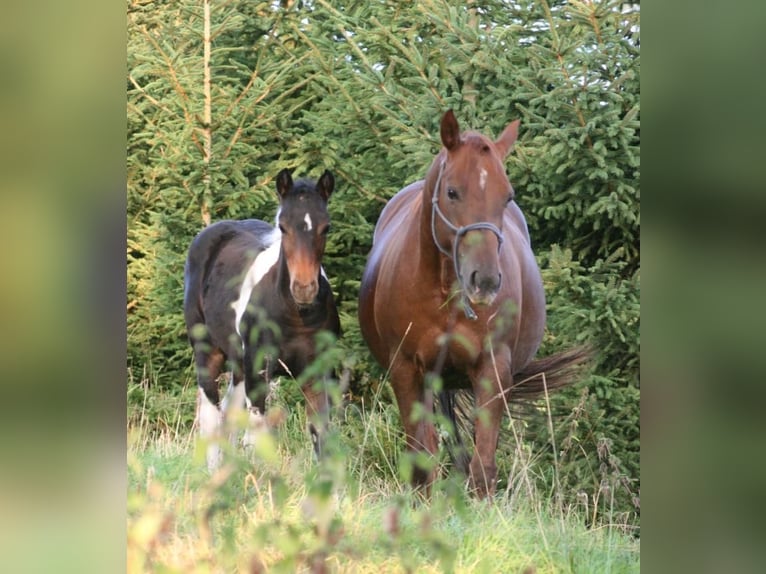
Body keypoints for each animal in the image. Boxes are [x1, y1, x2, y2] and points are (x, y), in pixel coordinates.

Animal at [184, 168, 341, 471]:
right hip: (208, 351)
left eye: (326, 227)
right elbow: (259, 437)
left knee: (230, 414)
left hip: (239, 362)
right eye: (283, 226)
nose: (304, 289)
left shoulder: (318, 373)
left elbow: (321, 436)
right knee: (211, 415)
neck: (294, 315)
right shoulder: (259, 371)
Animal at [358, 110, 588, 498]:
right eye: (452, 192)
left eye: (507, 197)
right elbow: (421, 461)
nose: (486, 280)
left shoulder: (492, 369)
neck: (444, 296)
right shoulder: (406, 371)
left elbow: (483, 466)